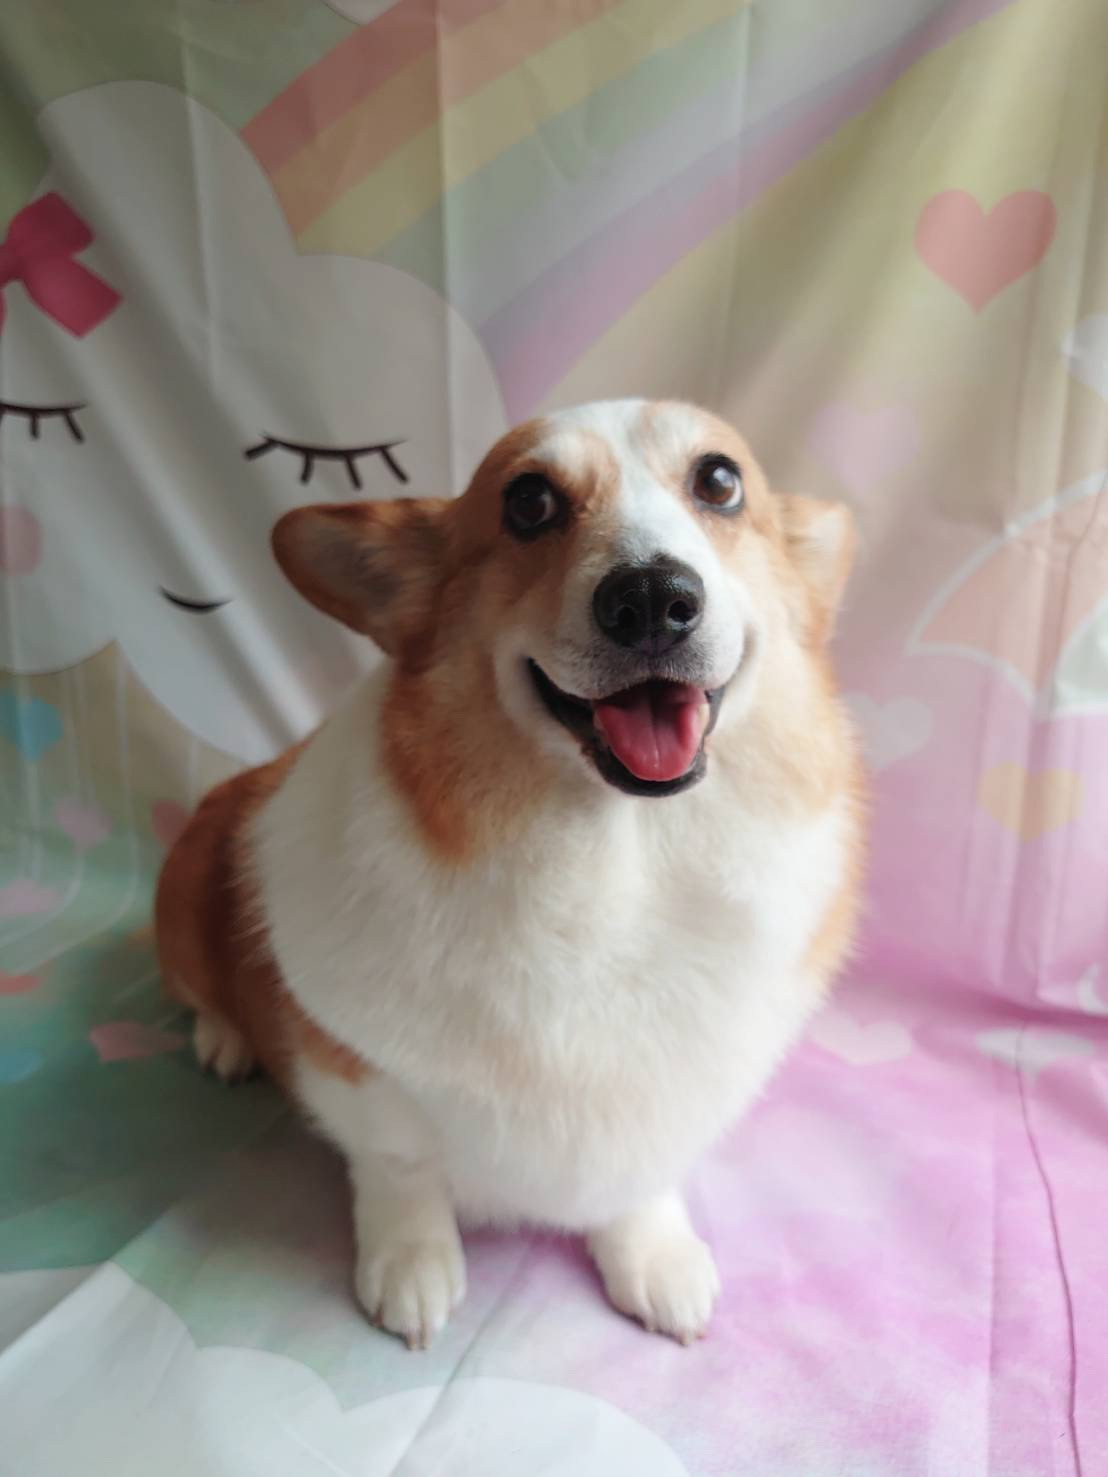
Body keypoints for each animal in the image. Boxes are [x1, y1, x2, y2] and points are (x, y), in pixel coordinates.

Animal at [156, 398, 864, 1349]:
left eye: (720, 480)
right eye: (528, 502)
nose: (651, 599)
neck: (615, 869)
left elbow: (638, 1182)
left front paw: (654, 1258)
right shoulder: (355, 1066)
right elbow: (402, 1166)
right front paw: (413, 1265)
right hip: (187, 886)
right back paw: (224, 1039)